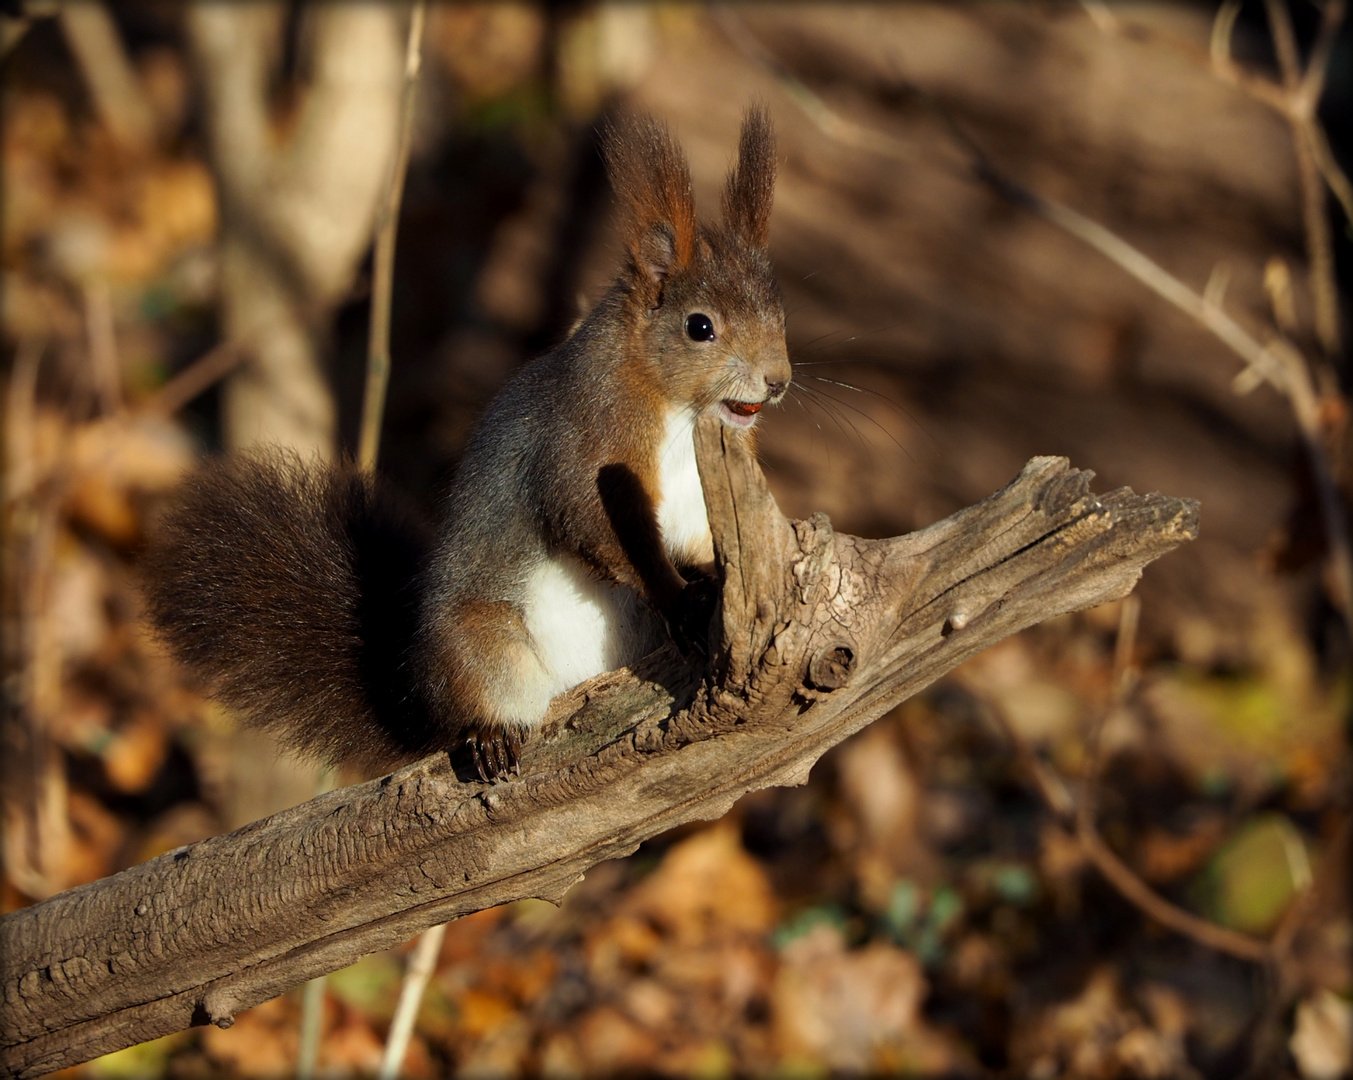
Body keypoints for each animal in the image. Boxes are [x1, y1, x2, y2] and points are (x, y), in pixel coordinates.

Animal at [142, 105, 790, 784]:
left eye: (780, 312)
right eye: (700, 327)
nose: (778, 381)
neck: (679, 411)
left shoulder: (693, 501)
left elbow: (692, 541)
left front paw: (713, 578)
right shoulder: (588, 438)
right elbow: (598, 526)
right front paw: (679, 597)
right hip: (480, 647)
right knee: (477, 704)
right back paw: (490, 737)